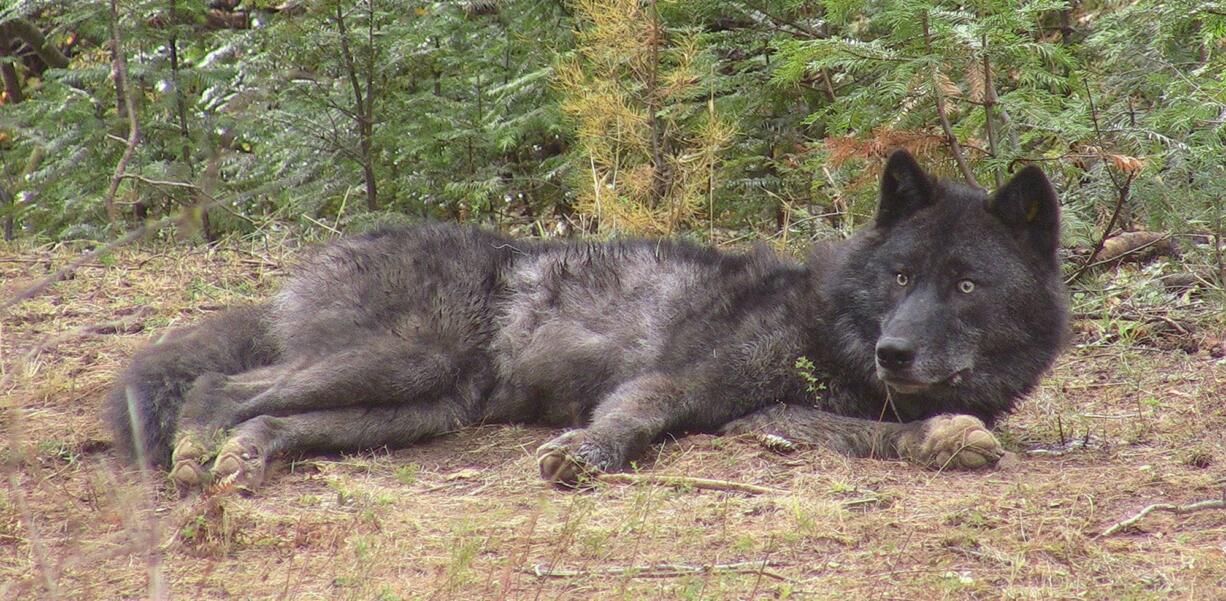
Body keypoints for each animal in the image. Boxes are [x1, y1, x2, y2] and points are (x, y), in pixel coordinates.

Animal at [110, 150, 1069, 488]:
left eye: (966, 285)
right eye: (902, 274)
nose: (894, 350)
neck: (834, 317)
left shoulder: (772, 414)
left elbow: (880, 433)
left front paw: (946, 436)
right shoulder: (679, 380)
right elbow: (637, 414)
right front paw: (586, 453)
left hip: (417, 408)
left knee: (266, 416)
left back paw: (243, 461)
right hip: (403, 363)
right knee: (216, 381)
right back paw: (195, 458)